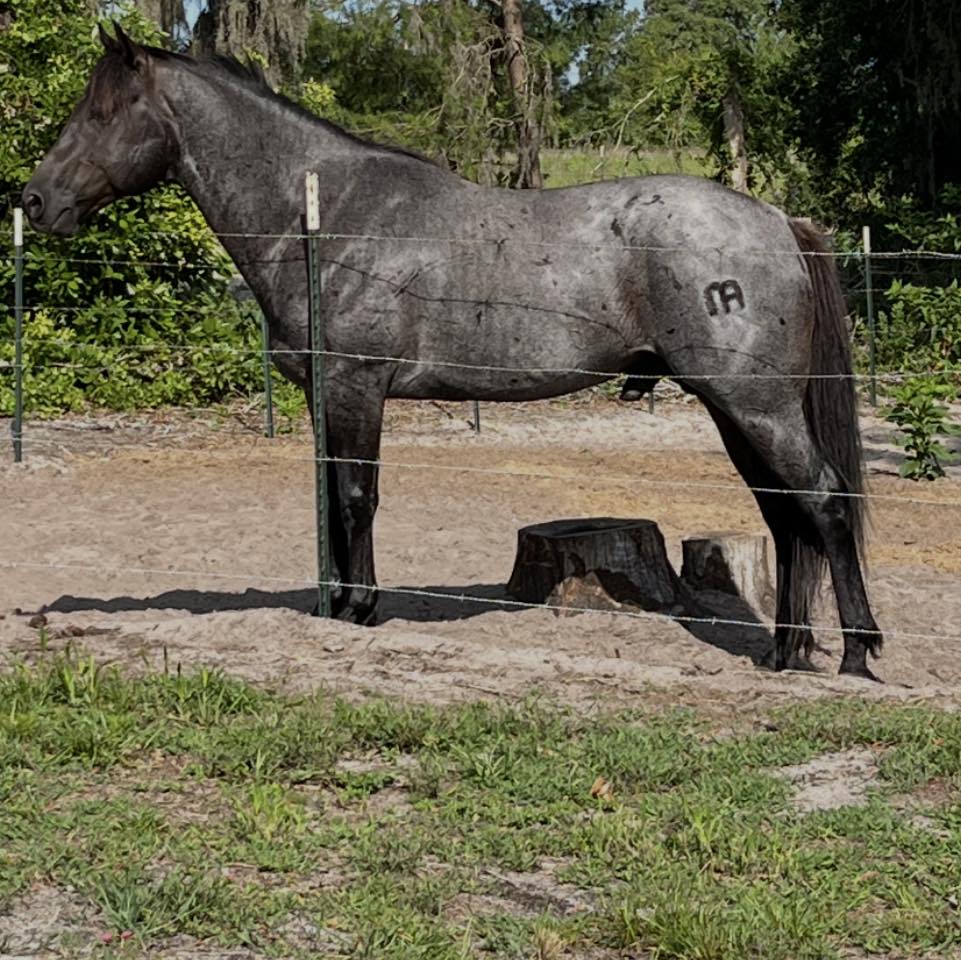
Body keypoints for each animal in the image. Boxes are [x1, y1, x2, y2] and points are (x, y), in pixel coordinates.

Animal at [23, 24, 884, 680]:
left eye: (102, 111)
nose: (34, 199)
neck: (327, 217)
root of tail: (774, 220)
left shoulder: (357, 388)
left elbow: (354, 497)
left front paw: (360, 607)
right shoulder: (324, 396)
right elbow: (330, 496)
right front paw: (335, 604)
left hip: (755, 405)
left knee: (824, 501)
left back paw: (855, 653)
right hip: (734, 410)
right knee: (784, 516)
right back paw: (784, 653)